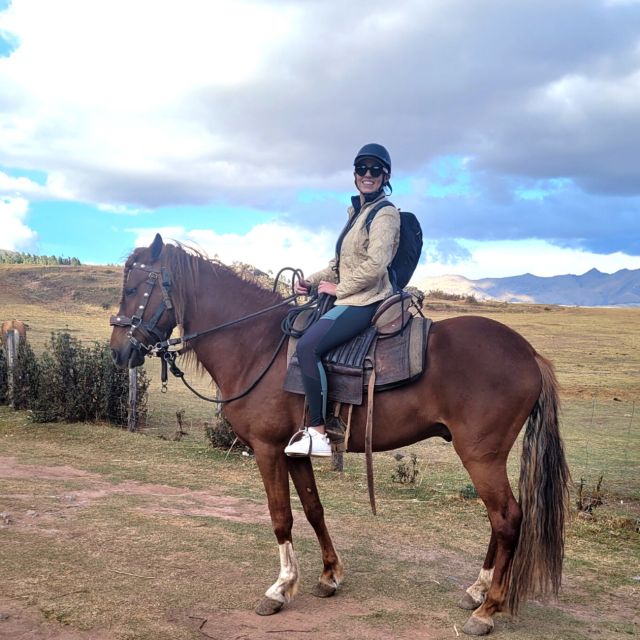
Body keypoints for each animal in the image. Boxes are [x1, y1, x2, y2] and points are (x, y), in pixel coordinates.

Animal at [110, 235, 568, 636]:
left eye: (133, 287)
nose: (119, 351)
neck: (257, 346)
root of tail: (529, 354)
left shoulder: (267, 448)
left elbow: (281, 516)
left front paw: (280, 589)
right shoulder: (294, 451)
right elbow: (314, 510)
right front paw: (329, 576)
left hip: (480, 456)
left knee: (507, 518)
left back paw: (487, 610)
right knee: (498, 519)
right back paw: (477, 590)